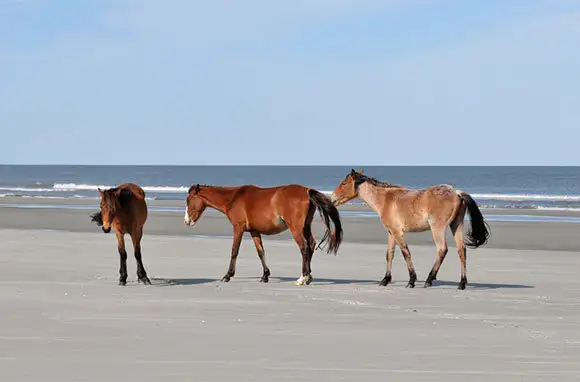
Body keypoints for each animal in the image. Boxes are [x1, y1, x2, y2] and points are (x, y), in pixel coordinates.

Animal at [184, 184, 342, 286]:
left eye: (189, 200)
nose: (187, 221)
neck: (234, 198)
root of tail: (306, 191)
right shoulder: (254, 231)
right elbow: (261, 252)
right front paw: (265, 275)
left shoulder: (238, 228)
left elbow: (234, 251)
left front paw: (227, 275)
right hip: (305, 227)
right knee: (311, 245)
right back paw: (308, 276)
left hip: (296, 228)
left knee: (304, 248)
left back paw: (302, 278)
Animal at [330, 170, 490, 290]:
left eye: (344, 183)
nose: (332, 198)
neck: (385, 199)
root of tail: (456, 192)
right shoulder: (391, 233)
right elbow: (390, 254)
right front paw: (385, 280)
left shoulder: (397, 232)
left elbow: (405, 253)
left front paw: (411, 281)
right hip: (456, 225)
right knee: (461, 250)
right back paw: (462, 283)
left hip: (437, 228)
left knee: (442, 250)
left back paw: (429, 280)